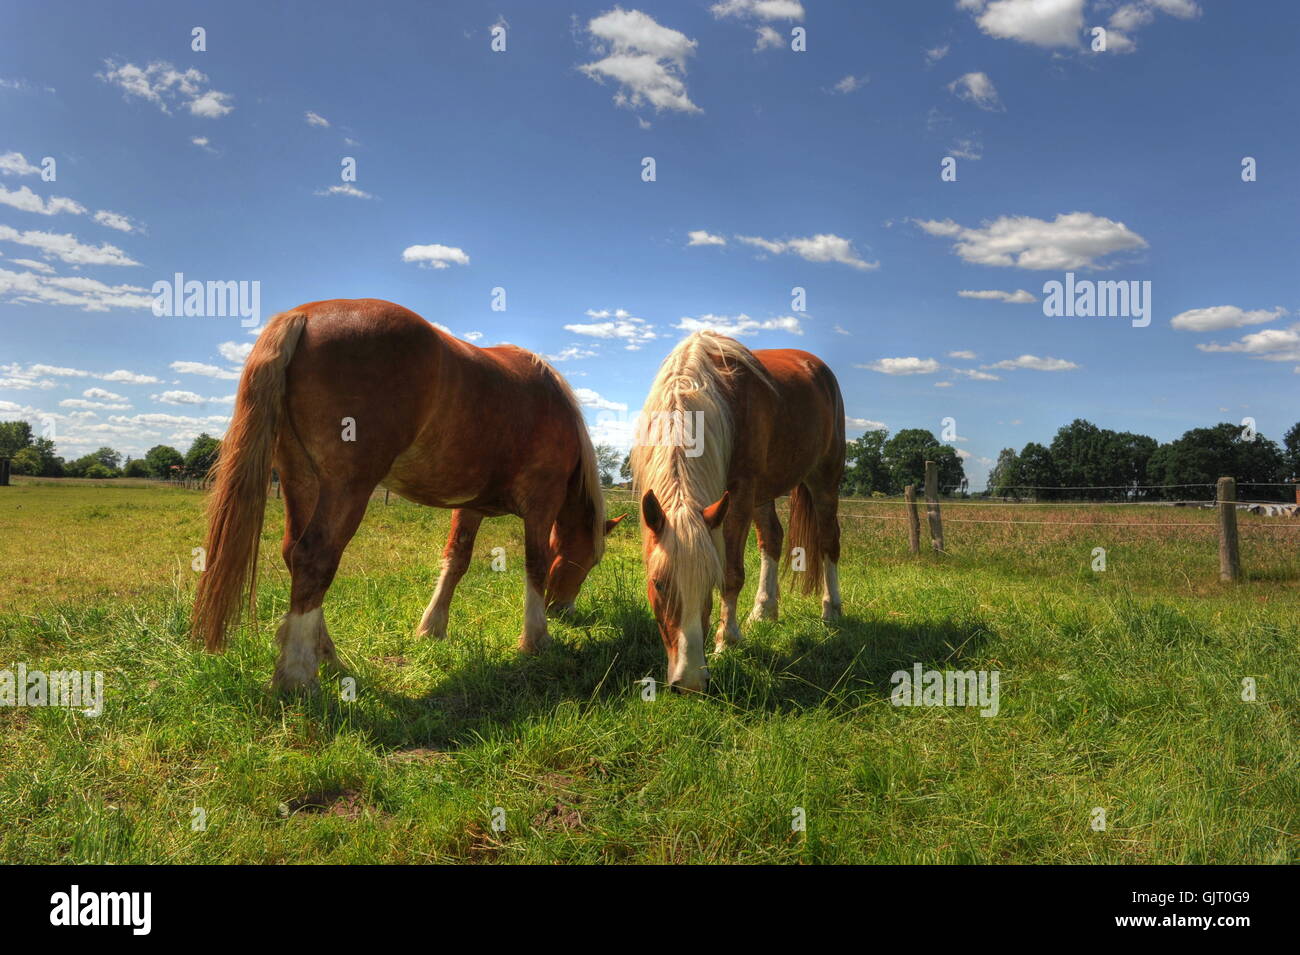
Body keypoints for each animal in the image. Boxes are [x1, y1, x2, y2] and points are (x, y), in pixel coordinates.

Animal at [192, 298, 618, 686]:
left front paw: (432, 628)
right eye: (590, 560)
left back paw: (328, 657)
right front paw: (536, 637)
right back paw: (298, 675)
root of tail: (305, 316)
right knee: (314, 558)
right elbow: (536, 564)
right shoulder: (541, 503)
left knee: (294, 554)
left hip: (301, 481)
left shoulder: (470, 506)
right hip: (347, 488)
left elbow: (456, 561)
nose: (563, 610)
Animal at [626, 335, 842, 696]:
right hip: (764, 493)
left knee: (829, 541)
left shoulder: (740, 493)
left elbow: (732, 573)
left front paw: (726, 641)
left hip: (824, 478)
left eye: (708, 582)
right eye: (658, 583)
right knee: (772, 538)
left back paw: (831, 610)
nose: (690, 682)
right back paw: (764, 611)